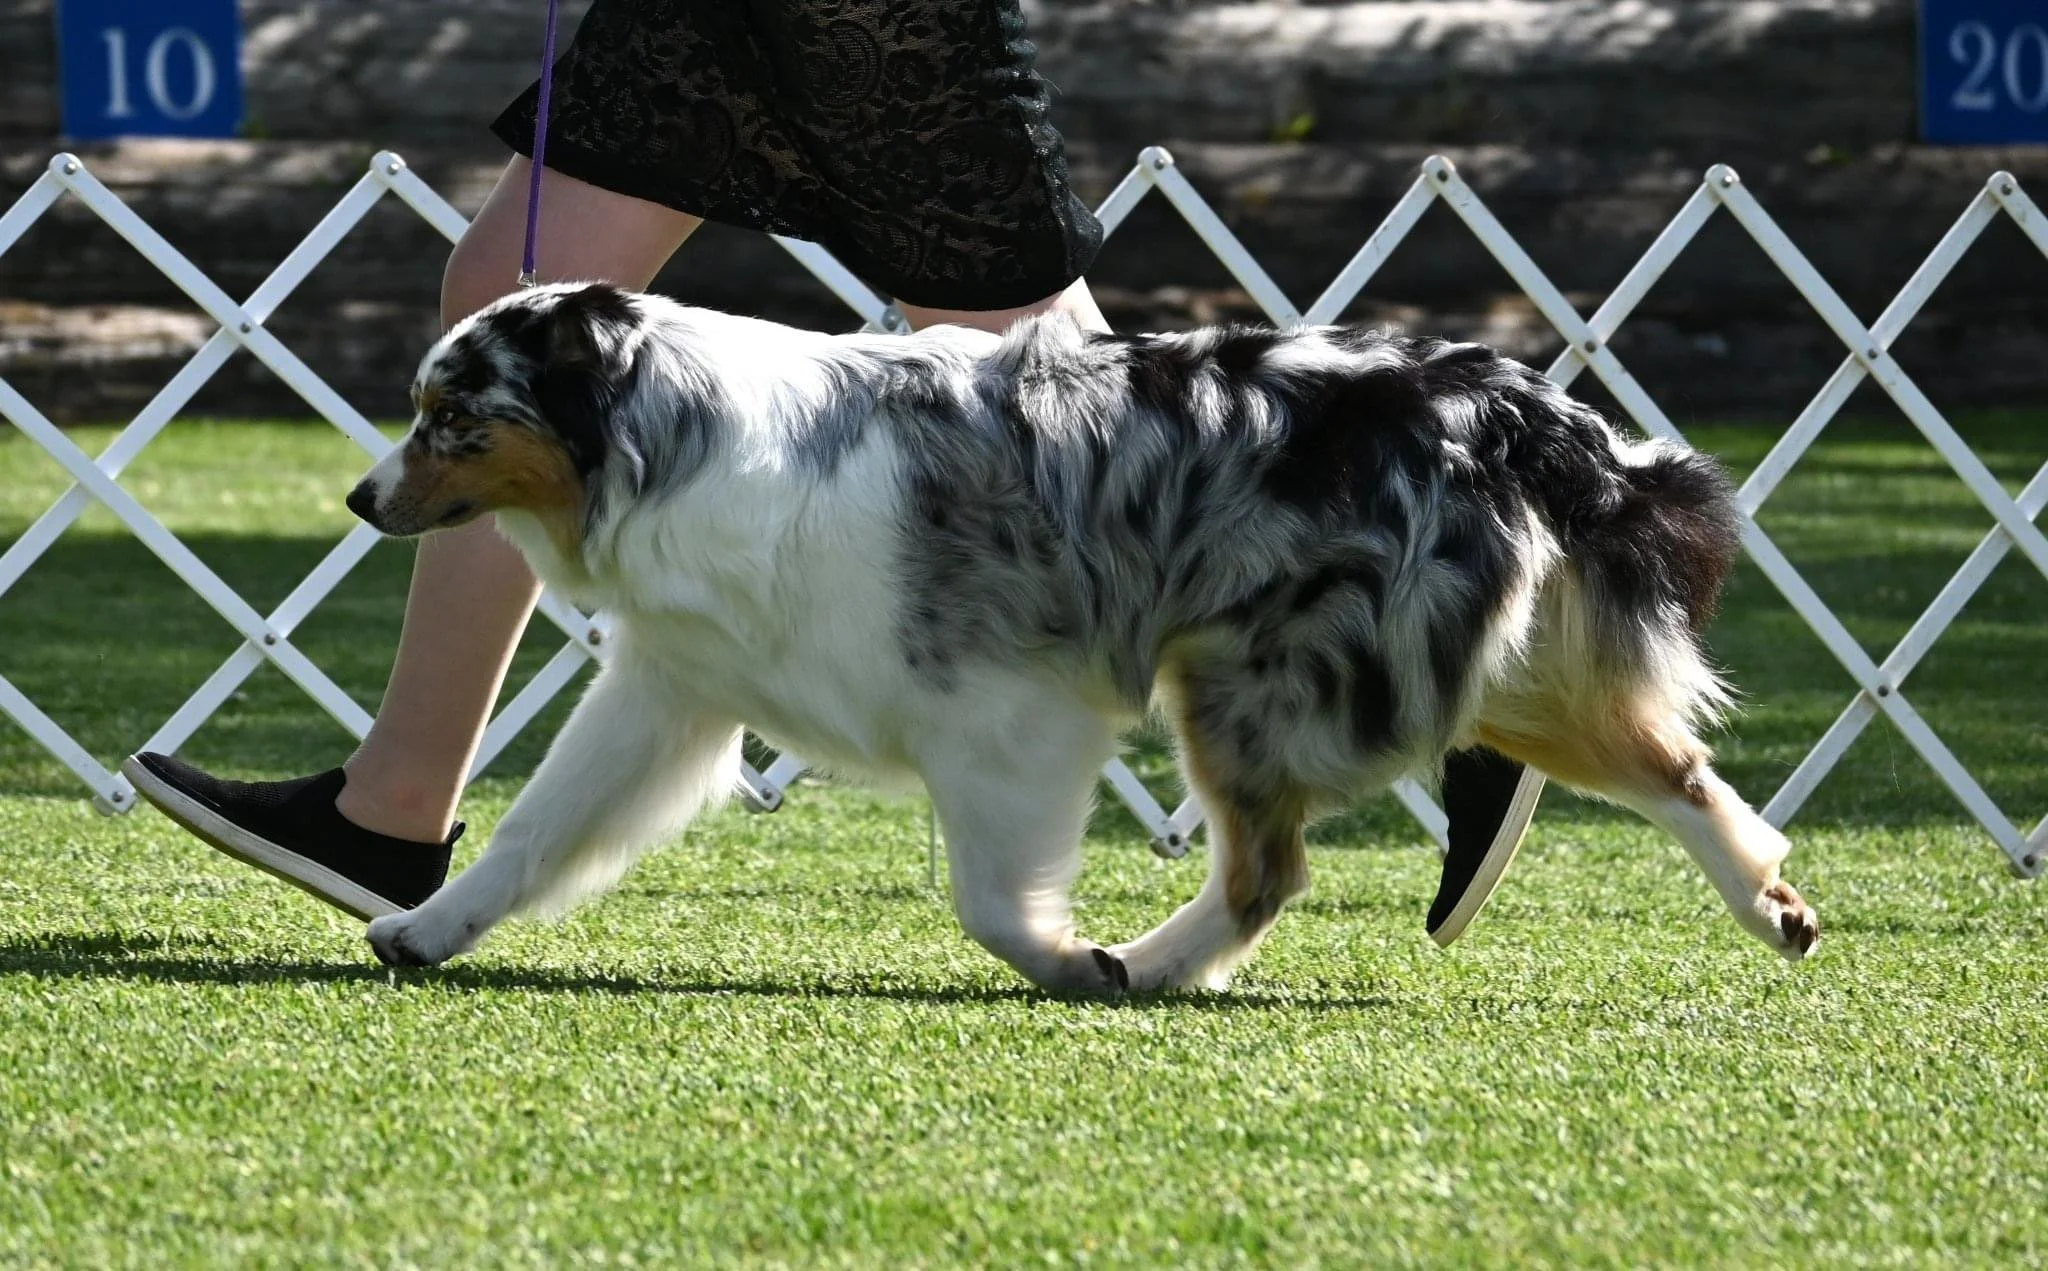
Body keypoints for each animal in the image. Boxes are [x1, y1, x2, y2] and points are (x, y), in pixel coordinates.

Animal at [351, 282, 1819, 992]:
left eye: (450, 416)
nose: (360, 498)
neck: (674, 431)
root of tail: (1503, 404)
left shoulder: (1002, 712)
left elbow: (989, 898)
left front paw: (1059, 955)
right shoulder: (671, 686)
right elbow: (538, 827)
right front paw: (425, 924)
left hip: (1243, 677)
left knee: (1267, 870)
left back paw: (1147, 964)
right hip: (1456, 663)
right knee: (1673, 765)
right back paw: (1772, 898)